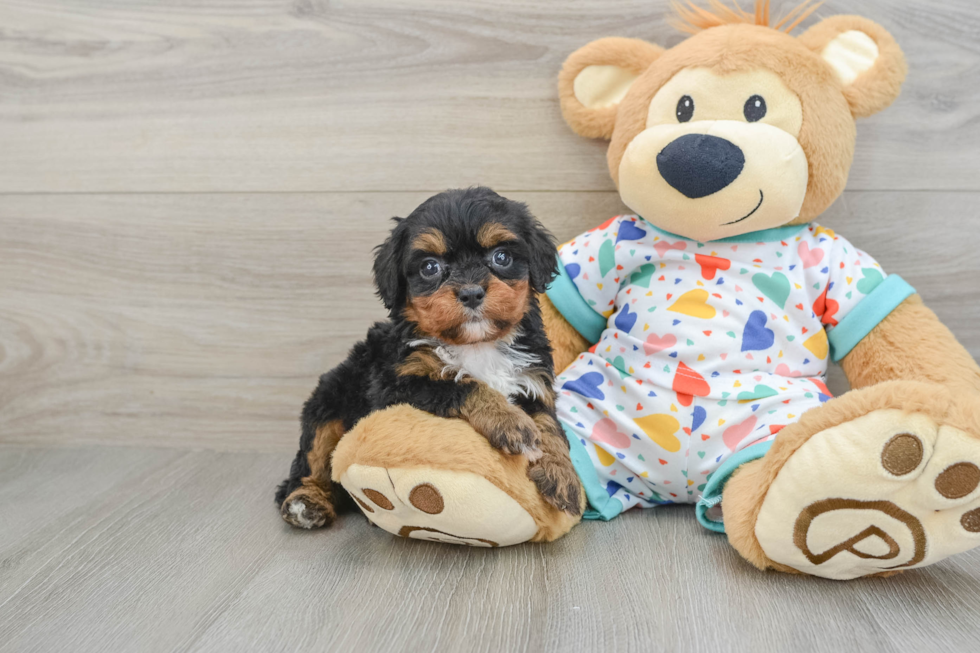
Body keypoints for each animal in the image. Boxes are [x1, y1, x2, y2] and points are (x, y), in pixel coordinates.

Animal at [276, 186, 580, 528]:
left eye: (501, 257)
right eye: (429, 267)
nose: (471, 292)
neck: (477, 344)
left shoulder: (533, 380)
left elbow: (549, 424)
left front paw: (563, 475)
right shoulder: (396, 385)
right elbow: (460, 384)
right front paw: (510, 421)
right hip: (327, 402)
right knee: (312, 461)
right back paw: (307, 501)